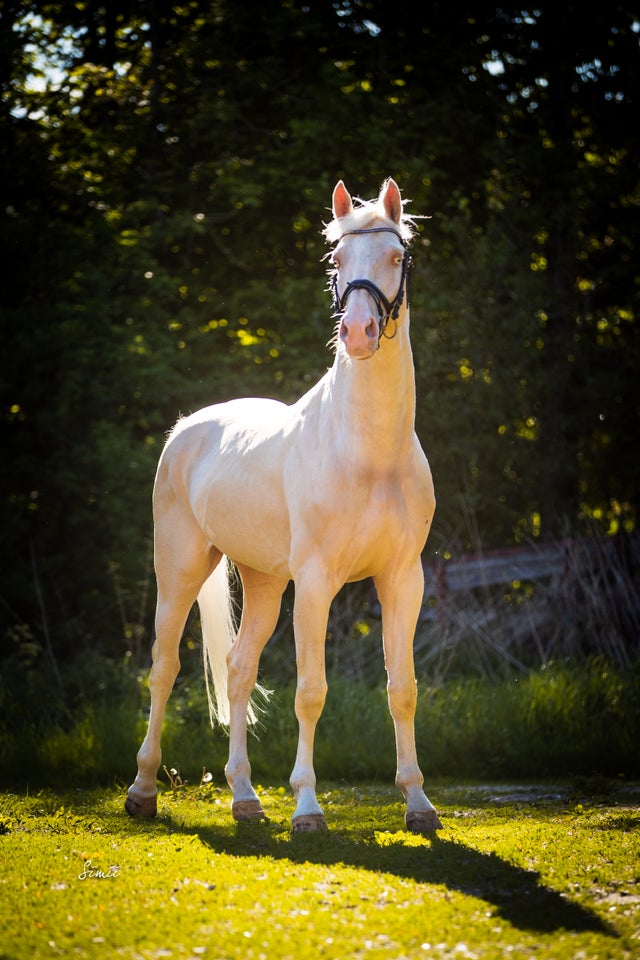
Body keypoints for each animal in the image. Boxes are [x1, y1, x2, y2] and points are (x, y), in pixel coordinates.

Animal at [127, 178, 442, 832]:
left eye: (396, 258)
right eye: (337, 260)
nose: (359, 334)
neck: (369, 453)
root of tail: (185, 429)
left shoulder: (404, 579)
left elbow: (402, 688)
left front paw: (418, 803)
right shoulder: (317, 582)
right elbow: (310, 690)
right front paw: (307, 808)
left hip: (265, 583)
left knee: (239, 670)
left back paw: (245, 798)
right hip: (180, 571)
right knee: (164, 669)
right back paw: (142, 791)